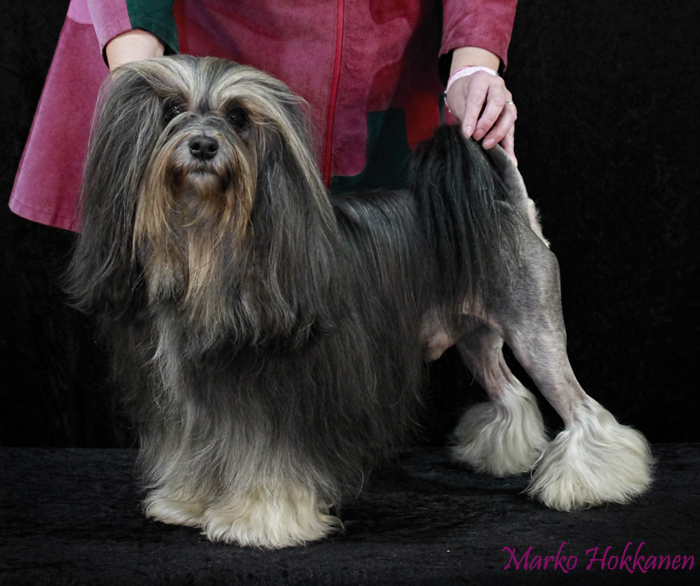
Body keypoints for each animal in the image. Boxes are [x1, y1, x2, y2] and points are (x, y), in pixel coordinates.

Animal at [65, 55, 652, 548]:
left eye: (237, 118)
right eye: (171, 110)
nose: (204, 146)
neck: (206, 241)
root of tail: (508, 208)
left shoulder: (281, 393)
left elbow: (271, 460)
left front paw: (259, 522)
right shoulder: (190, 391)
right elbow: (191, 448)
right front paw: (186, 504)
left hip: (534, 330)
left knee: (581, 409)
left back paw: (596, 483)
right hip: (477, 339)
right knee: (511, 394)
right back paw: (502, 455)